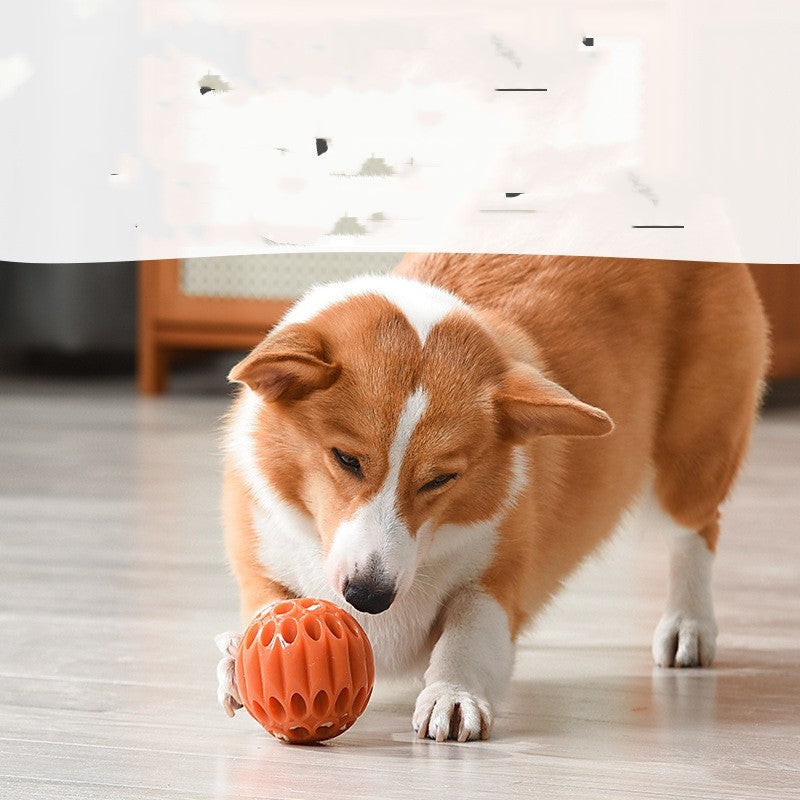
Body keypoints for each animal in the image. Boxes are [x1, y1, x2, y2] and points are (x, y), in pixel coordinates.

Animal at [214, 256, 768, 744]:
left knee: (694, 530)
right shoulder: (263, 565)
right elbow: (269, 606)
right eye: (346, 459)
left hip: (689, 457)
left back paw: (688, 626)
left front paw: (451, 697)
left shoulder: (496, 582)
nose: (368, 598)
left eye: (442, 479)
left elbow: (467, 633)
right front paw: (234, 660)